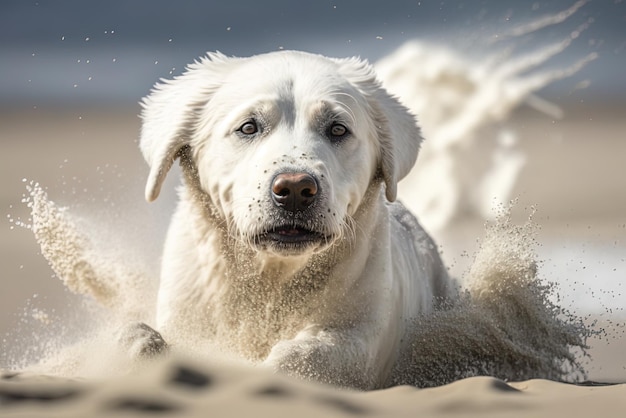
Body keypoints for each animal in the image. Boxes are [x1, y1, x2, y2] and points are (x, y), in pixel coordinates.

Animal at [133, 50, 454, 390]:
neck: (274, 282)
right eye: (248, 127)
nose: (296, 189)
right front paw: (142, 342)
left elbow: (310, 354)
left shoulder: (366, 322)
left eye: (338, 129)